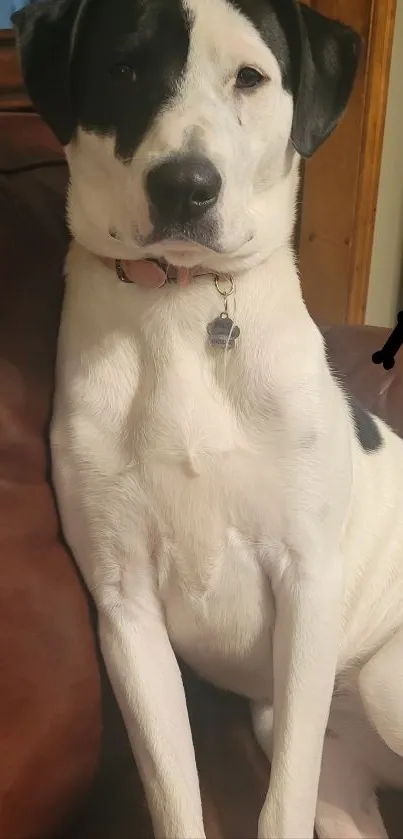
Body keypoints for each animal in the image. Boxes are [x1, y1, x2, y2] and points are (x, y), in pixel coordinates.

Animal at [14, 1, 403, 839]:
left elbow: (280, 803)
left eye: (249, 77)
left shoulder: (306, 583)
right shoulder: (126, 612)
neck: (182, 304)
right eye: (124, 69)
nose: (184, 187)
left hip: (383, 678)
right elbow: (174, 792)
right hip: (338, 771)